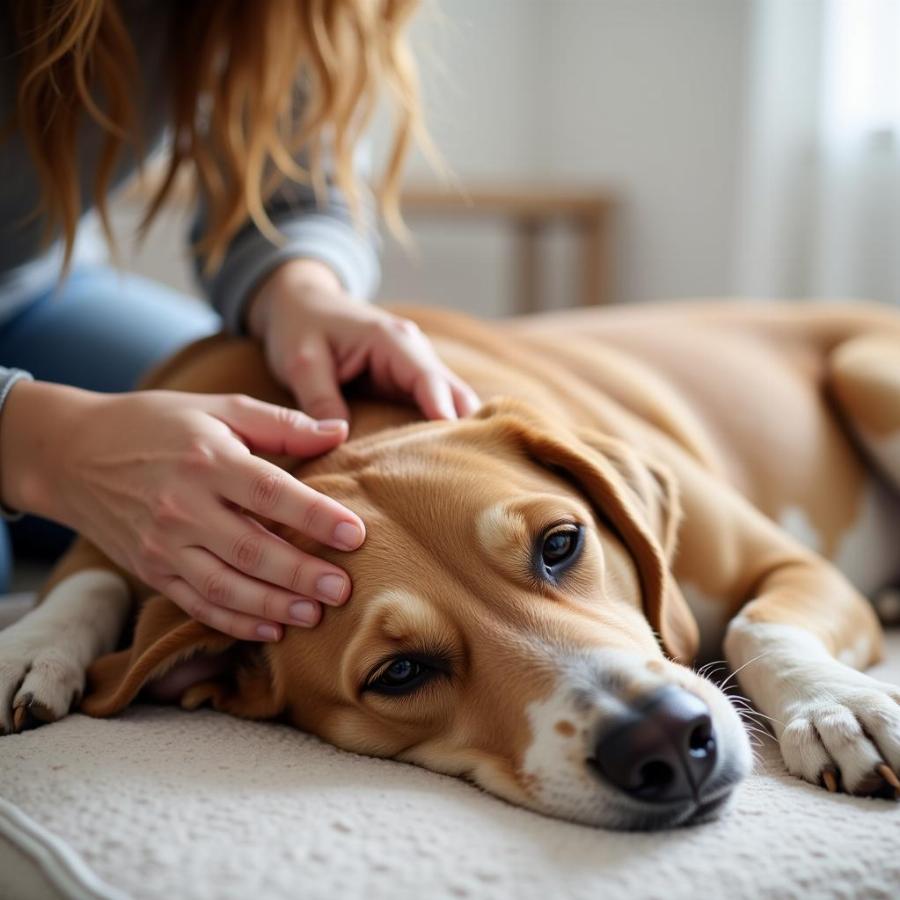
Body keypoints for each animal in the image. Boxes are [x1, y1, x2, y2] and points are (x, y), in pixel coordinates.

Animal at [1, 302, 900, 828]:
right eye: (399, 673)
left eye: (562, 544)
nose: (665, 741)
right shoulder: (131, 479)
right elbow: (89, 575)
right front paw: (32, 644)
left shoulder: (786, 561)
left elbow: (757, 623)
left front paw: (836, 709)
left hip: (866, 371)